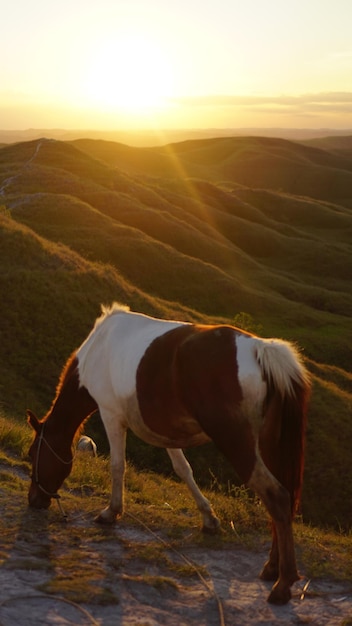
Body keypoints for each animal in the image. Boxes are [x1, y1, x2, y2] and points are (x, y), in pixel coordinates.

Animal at [26, 300, 310, 604]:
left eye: (32, 455)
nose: (34, 500)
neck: (98, 349)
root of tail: (260, 349)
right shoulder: (165, 431)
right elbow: (183, 470)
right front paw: (209, 519)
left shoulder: (111, 415)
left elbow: (117, 466)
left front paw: (111, 512)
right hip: (269, 447)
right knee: (283, 499)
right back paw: (271, 568)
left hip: (237, 443)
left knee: (277, 497)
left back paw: (283, 584)